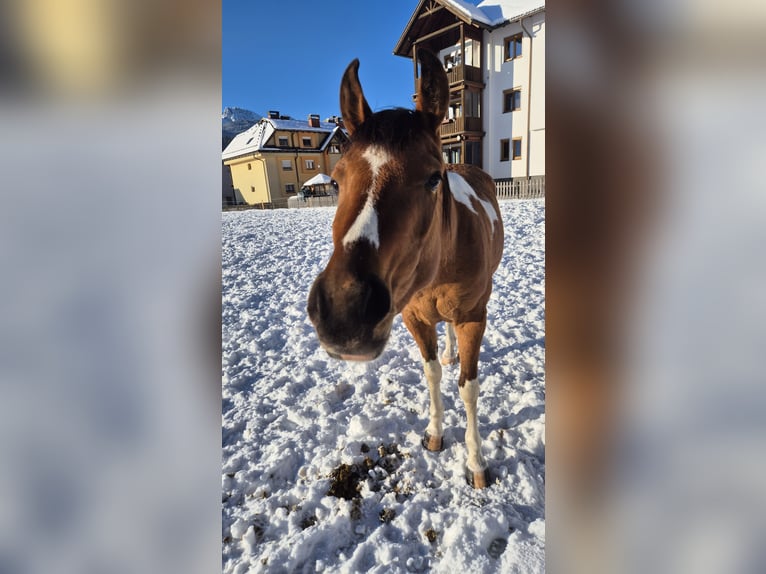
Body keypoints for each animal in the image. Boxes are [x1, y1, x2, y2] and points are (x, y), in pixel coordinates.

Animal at [307, 49, 504, 488]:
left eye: (433, 178)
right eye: (336, 181)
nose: (345, 312)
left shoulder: (473, 317)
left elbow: (469, 388)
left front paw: (476, 462)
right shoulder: (415, 316)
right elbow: (431, 375)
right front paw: (434, 433)